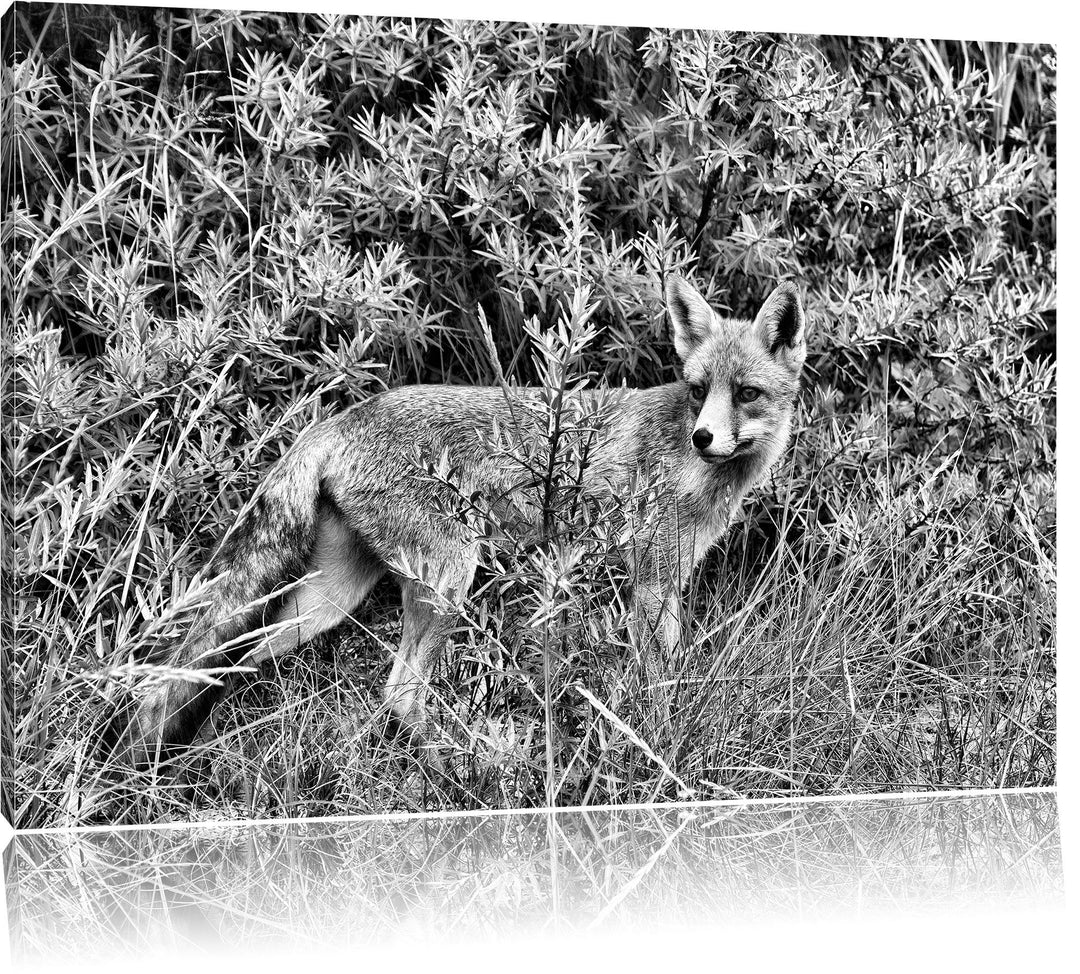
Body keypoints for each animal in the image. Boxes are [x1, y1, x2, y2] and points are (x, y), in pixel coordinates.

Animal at [101, 274, 807, 778]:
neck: (695, 473)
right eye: (698, 389)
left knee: (235, 661)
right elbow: (657, 678)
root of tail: (340, 417)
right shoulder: (652, 577)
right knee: (399, 691)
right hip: (449, 575)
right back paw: (463, 765)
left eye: (746, 393)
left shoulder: (666, 575)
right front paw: (657, 737)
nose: (703, 436)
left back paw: (200, 755)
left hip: (332, 597)